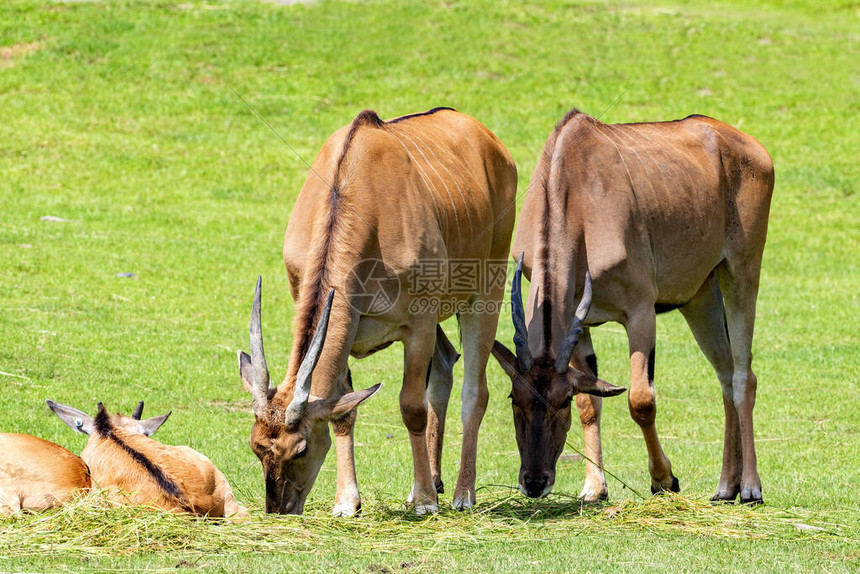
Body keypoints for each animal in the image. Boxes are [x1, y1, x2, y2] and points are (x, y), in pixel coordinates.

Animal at [235, 108, 516, 516]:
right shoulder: (343, 322)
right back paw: (428, 484)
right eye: (256, 447)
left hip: (484, 294)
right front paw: (347, 501)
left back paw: (461, 494)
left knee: (474, 392)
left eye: (300, 449)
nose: (280, 508)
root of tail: (490, 140)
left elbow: (411, 407)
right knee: (445, 364)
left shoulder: (418, 324)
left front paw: (427, 503)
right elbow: (343, 411)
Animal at [494, 108, 776, 504]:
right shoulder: (581, 324)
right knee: (725, 373)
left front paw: (664, 479)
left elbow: (641, 401)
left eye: (560, 401)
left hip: (741, 273)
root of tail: (748, 145)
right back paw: (725, 486)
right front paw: (594, 488)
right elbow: (591, 403)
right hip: (700, 297)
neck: (574, 188)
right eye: (514, 397)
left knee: (743, 376)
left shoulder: (640, 313)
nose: (534, 482)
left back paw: (750, 486)